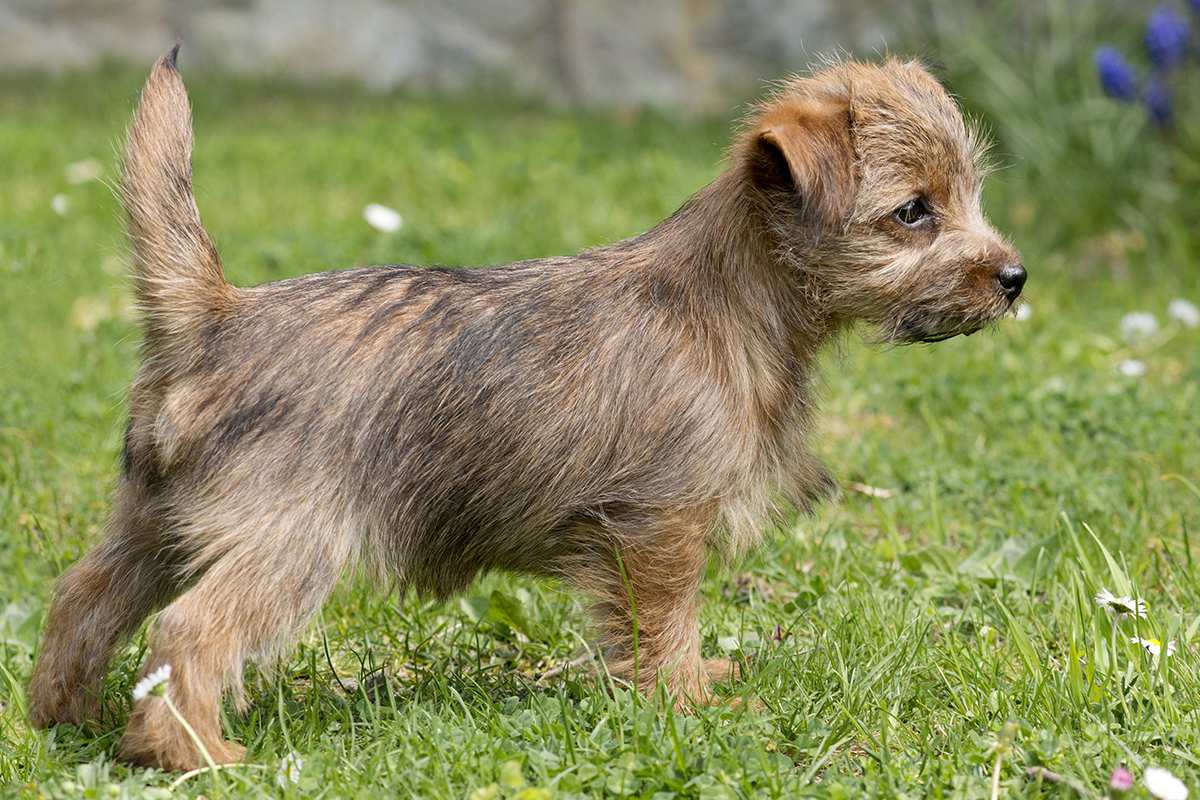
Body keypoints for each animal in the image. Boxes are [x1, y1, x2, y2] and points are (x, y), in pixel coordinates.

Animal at [25, 45, 1022, 767]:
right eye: (913, 213)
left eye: (970, 195)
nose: (1014, 277)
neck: (735, 301)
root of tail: (213, 316)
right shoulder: (659, 526)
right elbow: (665, 622)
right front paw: (685, 701)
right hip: (290, 543)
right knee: (188, 631)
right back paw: (194, 754)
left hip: (155, 521)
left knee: (84, 596)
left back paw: (66, 716)